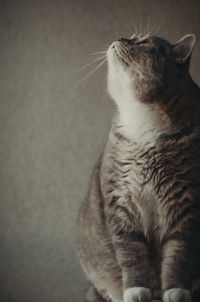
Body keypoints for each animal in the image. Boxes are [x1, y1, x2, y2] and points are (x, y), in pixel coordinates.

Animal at [76, 31, 200, 300]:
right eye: (133, 37)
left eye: (145, 42)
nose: (119, 38)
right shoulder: (120, 203)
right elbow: (131, 253)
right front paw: (136, 290)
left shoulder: (185, 204)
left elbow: (177, 255)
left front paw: (175, 291)